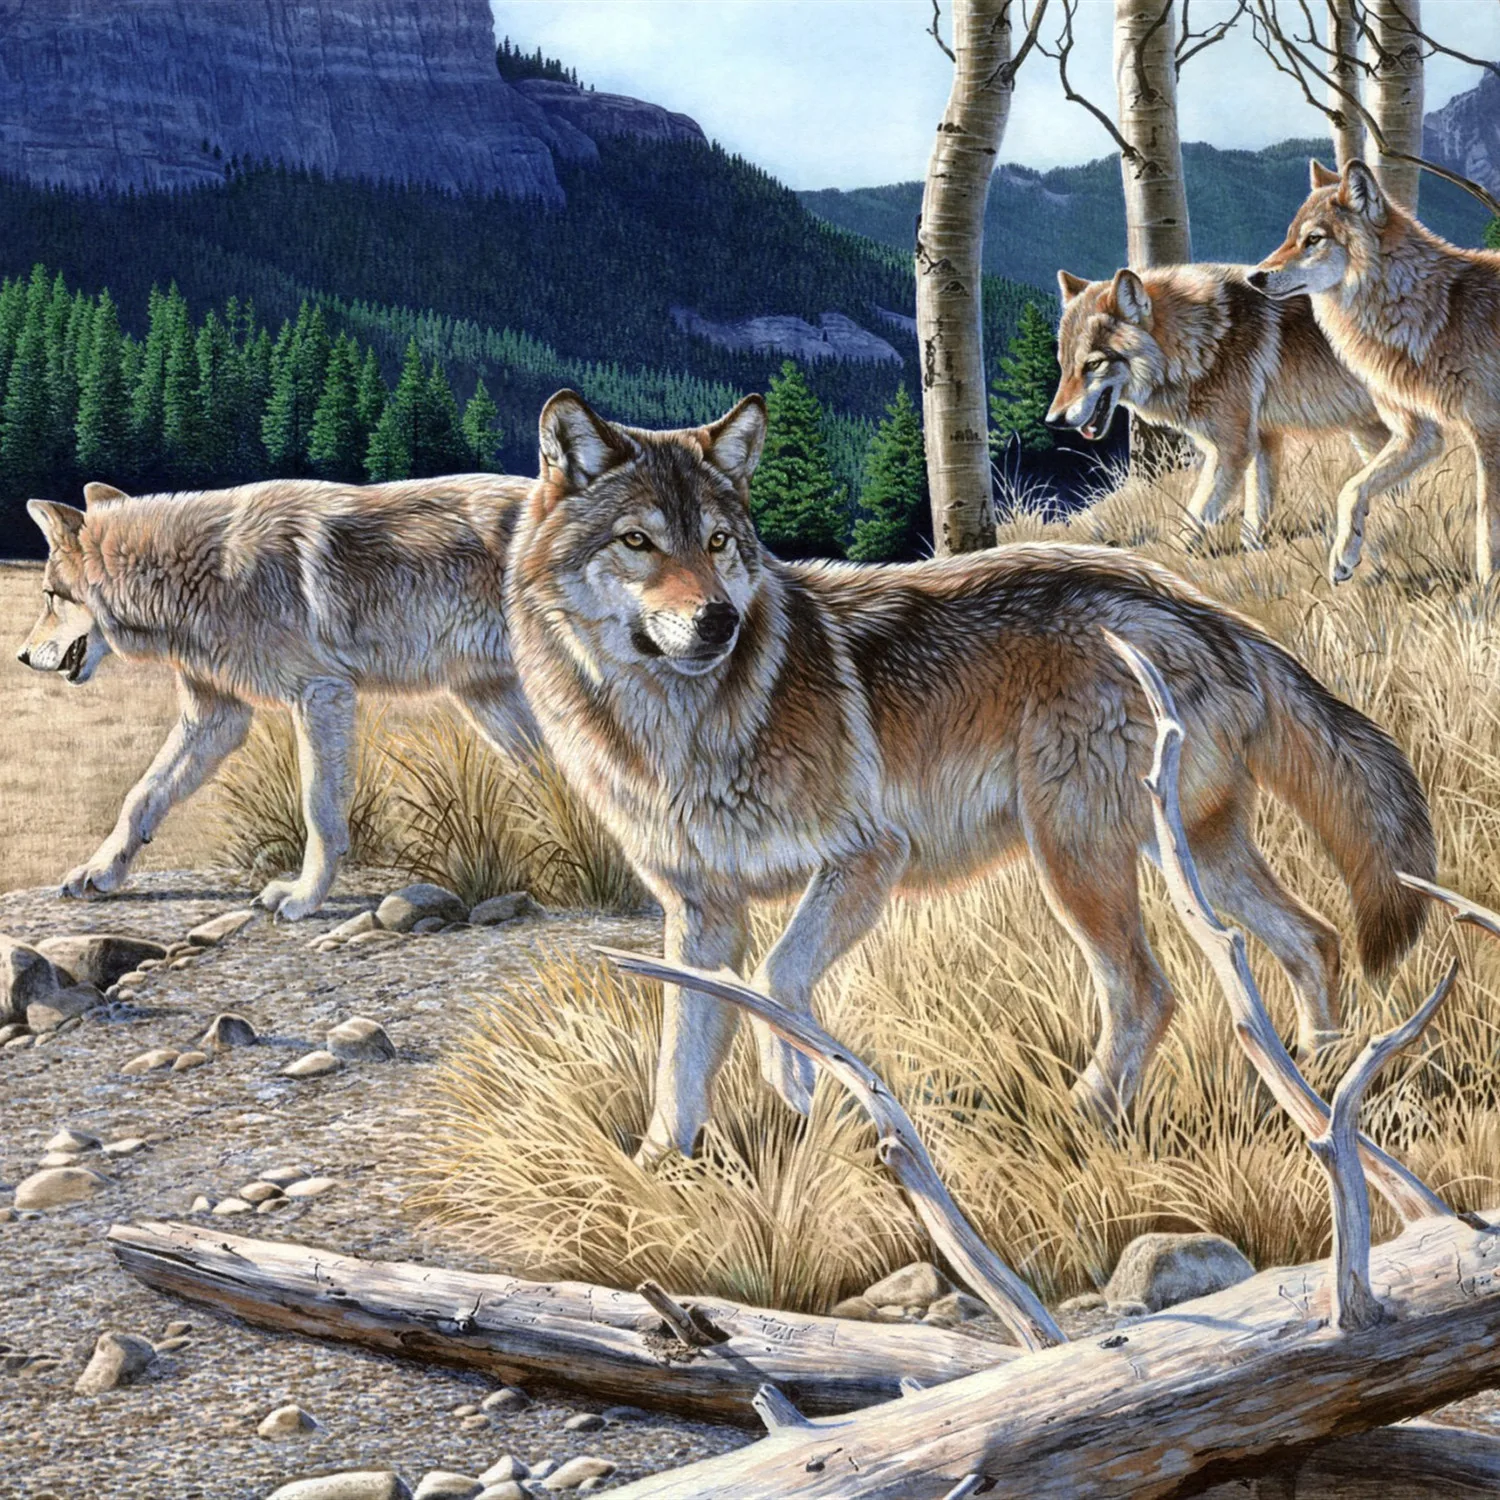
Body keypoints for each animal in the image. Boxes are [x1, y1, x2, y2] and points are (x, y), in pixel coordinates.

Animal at [19, 473, 535, 918]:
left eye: (48, 596)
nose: (21, 656)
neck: (205, 574)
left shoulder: (321, 696)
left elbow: (319, 809)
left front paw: (304, 898)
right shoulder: (215, 717)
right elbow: (141, 796)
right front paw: (101, 871)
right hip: (488, 700)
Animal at [504, 390, 1436, 1162]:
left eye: (719, 542)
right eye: (638, 542)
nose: (720, 621)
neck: (680, 728)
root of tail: (1204, 608)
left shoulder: (867, 859)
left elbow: (775, 982)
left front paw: (795, 1081)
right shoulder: (703, 914)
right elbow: (681, 1059)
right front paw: (660, 1167)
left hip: (1078, 861)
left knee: (1150, 991)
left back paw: (1087, 1115)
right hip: (1192, 853)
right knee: (1312, 937)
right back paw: (1317, 1083)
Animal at [1046, 264, 1393, 549]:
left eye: (1093, 364)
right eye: (1063, 365)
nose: (1053, 420)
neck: (1202, 340)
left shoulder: (1232, 448)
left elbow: (1195, 518)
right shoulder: (1263, 440)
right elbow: (1255, 514)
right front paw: (1254, 556)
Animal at [1250, 159, 1495, 583]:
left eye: (1313, 239)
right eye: (1289, 237)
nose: (1254, 276)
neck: (1432, 313)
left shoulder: (1488, 431)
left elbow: (1487, 523)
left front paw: (1488, 586)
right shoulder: (1418, 434)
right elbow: (1351, 488)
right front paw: (1343, 555)